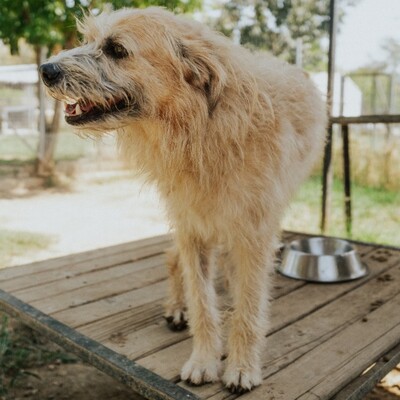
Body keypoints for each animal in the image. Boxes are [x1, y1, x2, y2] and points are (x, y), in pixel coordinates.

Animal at [40, 7, 326, 394]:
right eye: (87, 40)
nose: (46, 70)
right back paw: (178, 306)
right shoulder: (192, 230)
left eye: (116, 49)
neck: (201, 128)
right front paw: (203, 360)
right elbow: (202, 301)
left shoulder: (254, 235)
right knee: (173, 259)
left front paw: (241, 367)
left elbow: (249, 307)